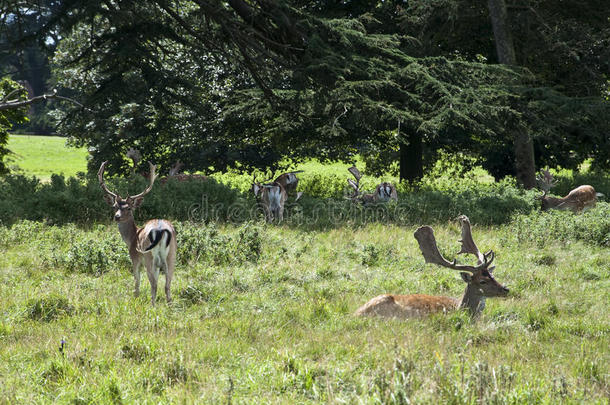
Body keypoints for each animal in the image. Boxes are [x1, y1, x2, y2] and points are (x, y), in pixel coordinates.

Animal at [97, 161, 177, 304]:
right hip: (171, 254)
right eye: (115, 207)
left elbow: (136, 280)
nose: (117, 216)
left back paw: (152, 305)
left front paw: (135, 298)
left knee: (154, 284)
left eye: (129, 208)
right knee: (167, 284)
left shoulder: (134, 257)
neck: (131, 238)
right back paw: (169, 304)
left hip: (148, 256)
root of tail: (161, 229)